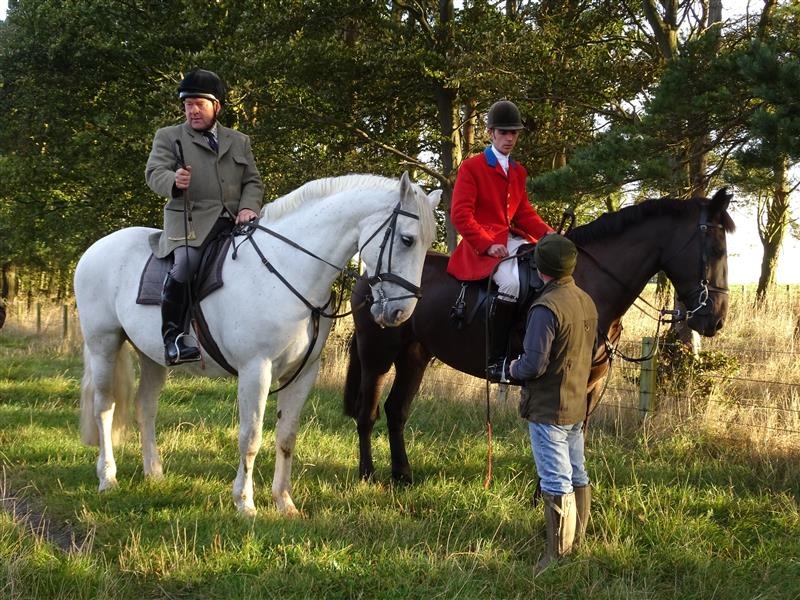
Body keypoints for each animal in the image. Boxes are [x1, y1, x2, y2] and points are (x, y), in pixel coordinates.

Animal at [75, 172, 441, 516]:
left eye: (428, 244)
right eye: (407, 239)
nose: (400, 313)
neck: (288, 270)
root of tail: (95, 249)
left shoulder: (302, 374)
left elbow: (286, 437)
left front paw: (284, 502)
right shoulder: (256, 371)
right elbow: (250, 438)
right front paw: (245, 503)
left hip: (153, 357)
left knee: (146, 407)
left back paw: (154, 473)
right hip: (103, 344)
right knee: (105, 408)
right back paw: (107, 477)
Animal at [344, 188, 735, 483]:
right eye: (716, 250)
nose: (715, 320)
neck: (587, 285)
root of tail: (370, 274)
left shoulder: (592, 384)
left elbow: (578, 438)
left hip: (415, 355)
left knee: (396, 411)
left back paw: (403, 475)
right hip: (377, 355)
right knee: (368, 413)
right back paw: (368, 474)